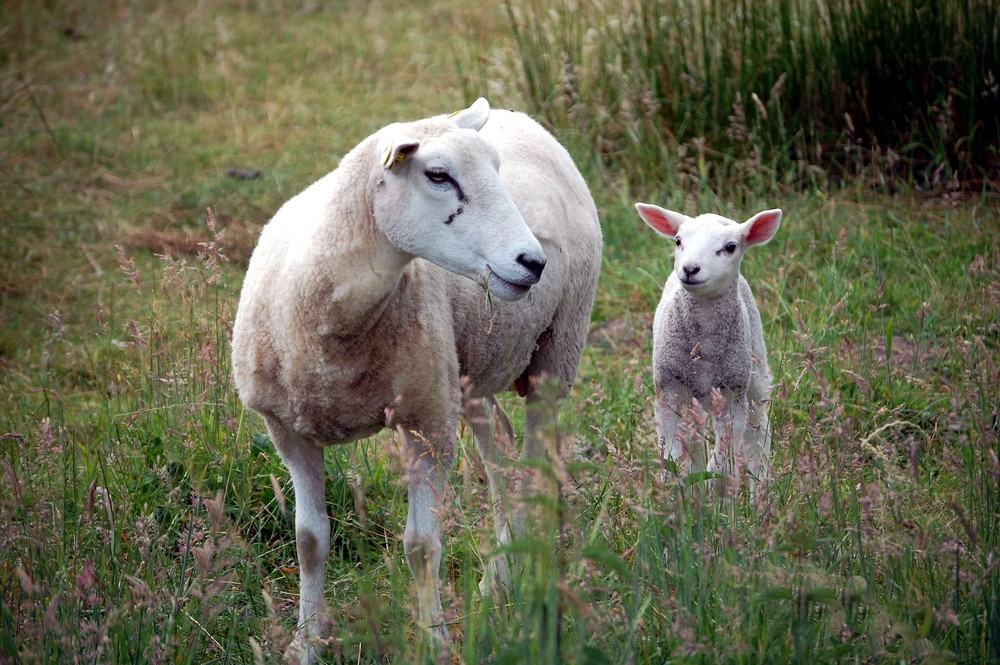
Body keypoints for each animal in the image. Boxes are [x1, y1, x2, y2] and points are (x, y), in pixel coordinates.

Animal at [232, 97, 600, 660]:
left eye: (496, 168)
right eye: (438, 175)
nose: (533, 261)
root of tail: (517, 113)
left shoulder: (427, 424)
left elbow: (422, 547)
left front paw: (435, 642)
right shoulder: (287, 429)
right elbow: (310, 541)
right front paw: (306, 642)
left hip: (556, 350)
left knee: (533, 465)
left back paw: (518, 577)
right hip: (463, 368)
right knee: (499, 454)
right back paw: (499, 577)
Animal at [632, 202, 780, 498]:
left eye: (730, 247)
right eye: (678, 241)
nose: (690, 268)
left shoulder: (732, 393)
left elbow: (722, 461)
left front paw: (718, 492)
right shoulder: (669, 389)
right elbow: (673, 458)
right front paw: (679, 493)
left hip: (755, 368)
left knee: (758, 431)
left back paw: (759, 492)